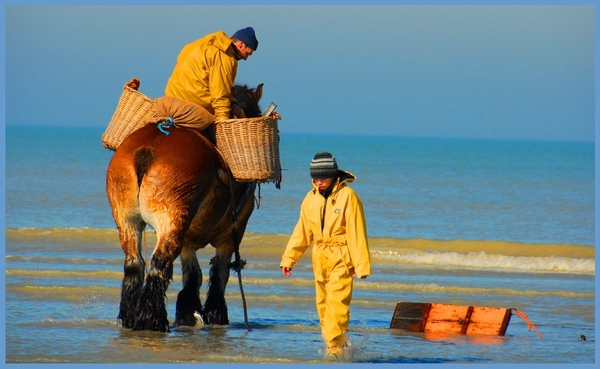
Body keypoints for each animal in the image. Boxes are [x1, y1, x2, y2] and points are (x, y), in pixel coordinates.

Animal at [106, 85, 264, 332]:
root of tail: (147, 149)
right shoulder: (230, 237)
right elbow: (219, 274)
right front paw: (215, 314)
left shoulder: (188, 242)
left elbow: (193, 275)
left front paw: (189, 312)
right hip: (171, 222)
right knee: (159, 264)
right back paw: (152, 320)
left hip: (127, 220)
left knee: (134, 264)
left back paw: (131, 318)